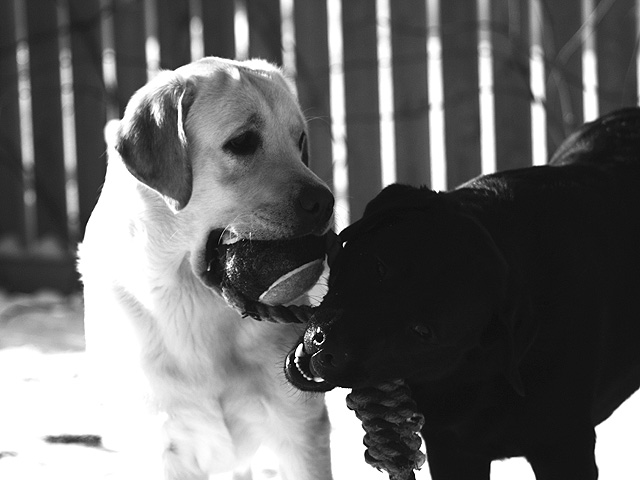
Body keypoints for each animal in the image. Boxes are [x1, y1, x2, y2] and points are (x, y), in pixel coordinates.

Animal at [78, 57, 334, 480]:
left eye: (299, 141)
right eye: (242, 142)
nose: (325, 202)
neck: (193, 301)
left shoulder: (299, 429)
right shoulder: (165, 446)